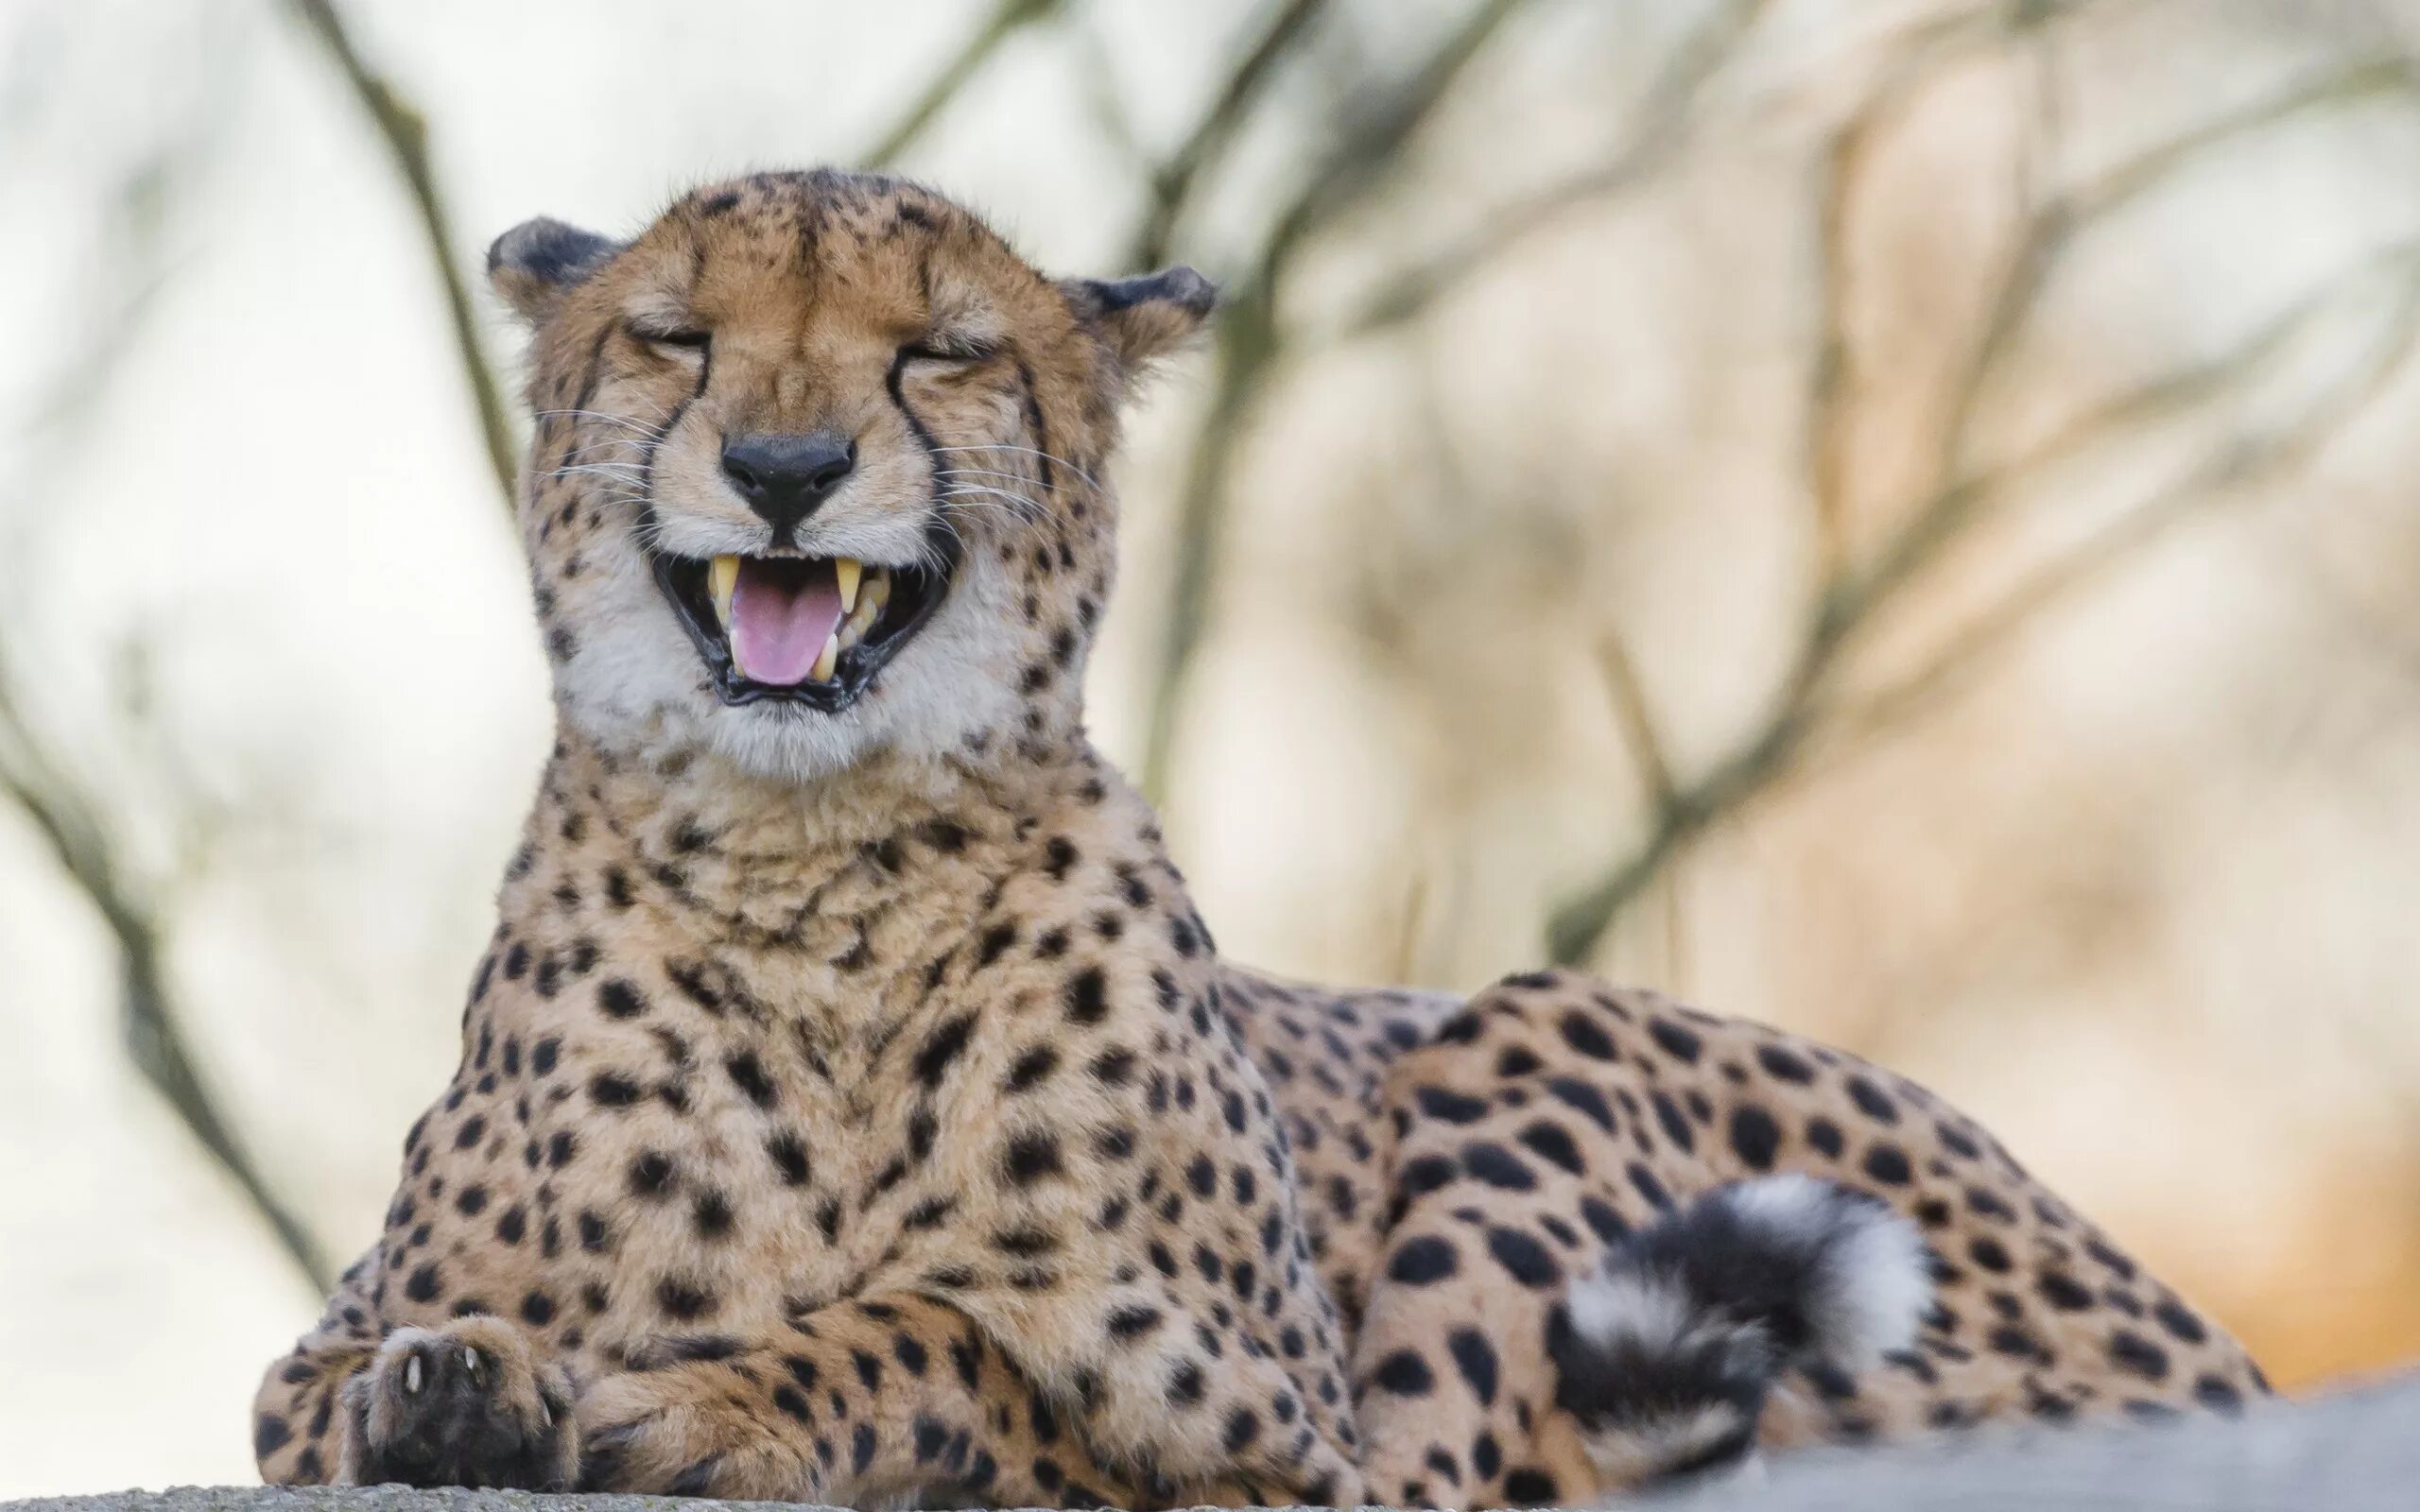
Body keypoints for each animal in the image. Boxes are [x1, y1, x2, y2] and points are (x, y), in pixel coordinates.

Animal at [250, 170, 2265, 1500]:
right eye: (676, 341)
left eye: (939, 355)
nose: (786, 471)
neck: (814, 868)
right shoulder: (298, 1372)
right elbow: (374, 1372)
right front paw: (464, 1385)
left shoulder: (1290, 1448)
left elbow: (956, 1334)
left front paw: (726, 1402)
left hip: (1534, 1032)